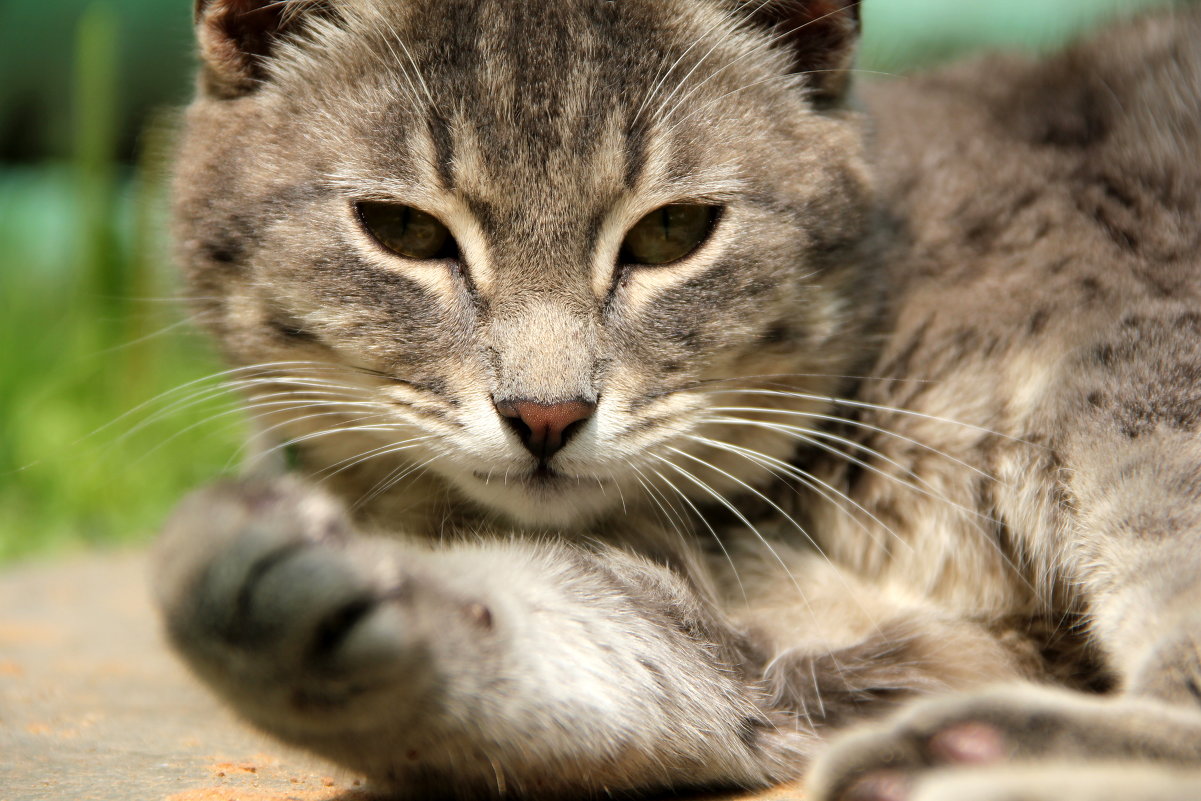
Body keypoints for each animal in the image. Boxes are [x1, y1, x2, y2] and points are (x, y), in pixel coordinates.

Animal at [154, 0, 1201, 797]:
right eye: (403, 230)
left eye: (673, 232)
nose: (545, 413)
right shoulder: (781, 657)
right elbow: (587, 650)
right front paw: (275, 601)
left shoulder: (1136, 358)